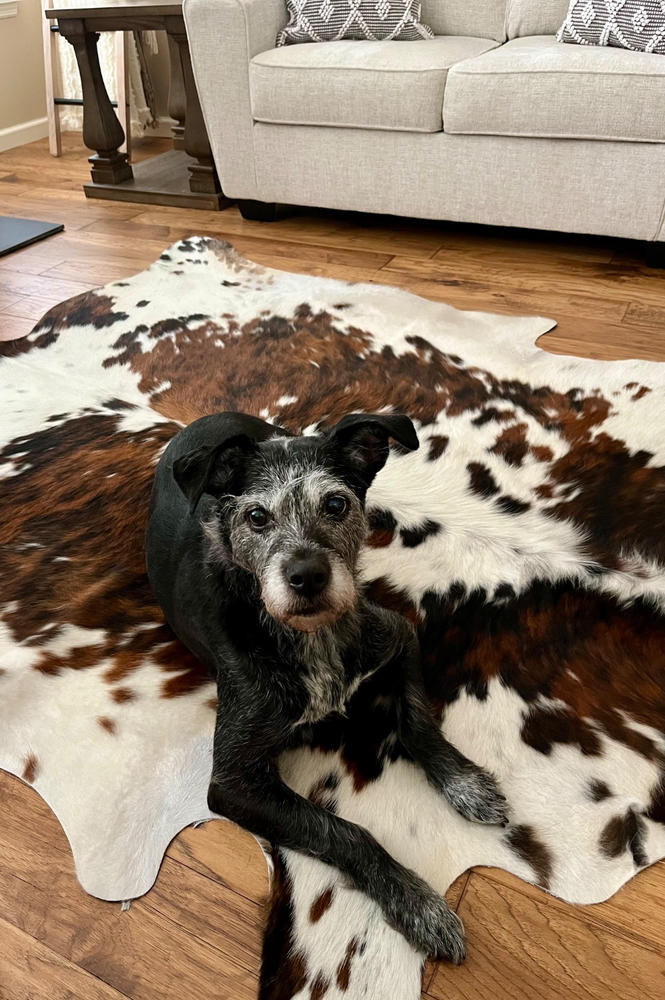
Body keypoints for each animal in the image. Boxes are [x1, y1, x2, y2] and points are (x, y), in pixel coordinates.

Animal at [145, 412, 506, 960]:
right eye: (256, 517)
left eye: (335, 505)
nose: (306, 575)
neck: (312, 636)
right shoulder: (233, 781)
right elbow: (344, 831)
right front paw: (418, 903)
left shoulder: (398, 636)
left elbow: (418, 721)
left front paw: (464, 783)